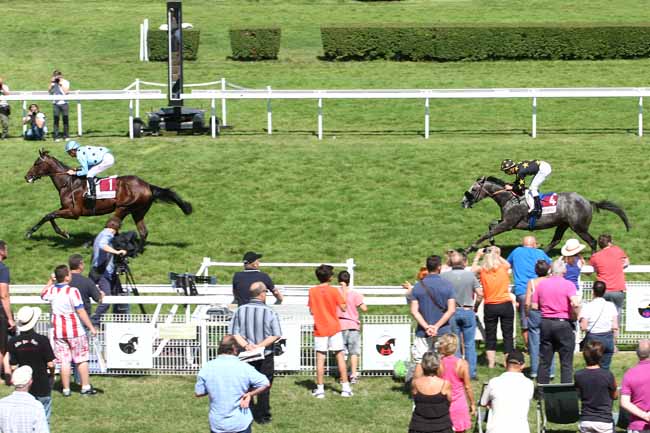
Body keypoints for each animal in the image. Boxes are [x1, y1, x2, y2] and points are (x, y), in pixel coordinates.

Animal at [24, 149, 193, 242]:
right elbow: (49, 216)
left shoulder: (74, 212)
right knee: (142, 232)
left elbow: (49, 215)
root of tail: (148, 186)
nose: (27, 177)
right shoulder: (65, 208)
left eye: (36, 163)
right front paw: (63, 233)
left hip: (123, 208)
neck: (68, 182)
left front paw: (32, 232)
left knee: (113, 225)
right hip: (137, 212)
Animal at [461, 176, 630, 252]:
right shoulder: (506, 221)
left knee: (592, 241)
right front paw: (492, 243)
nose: (463, 203)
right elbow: (490, 226)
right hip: (563, 224)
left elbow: (486, 233)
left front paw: (469, 248)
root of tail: (588, 201)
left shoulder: (509, 224)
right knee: (556, 240)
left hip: (579, 227)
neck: (510, 198)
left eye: (473, 189)